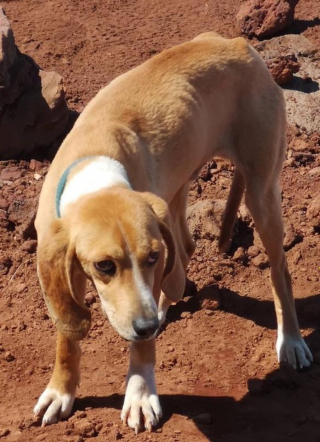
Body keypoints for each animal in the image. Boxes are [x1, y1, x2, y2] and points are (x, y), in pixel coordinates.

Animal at [33, 33, 312, 432]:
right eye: (104, 266)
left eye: (151, 256)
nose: (147, 325)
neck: (95, 169)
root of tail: (239, 44)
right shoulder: (57, 261)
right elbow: (66, 334)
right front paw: (61, 391)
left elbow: (141, 347)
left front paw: (140, 394)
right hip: (175, 190)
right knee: (186, 249)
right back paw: (167, 305)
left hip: (261, 192)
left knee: (278, 270)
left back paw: (290, 340)